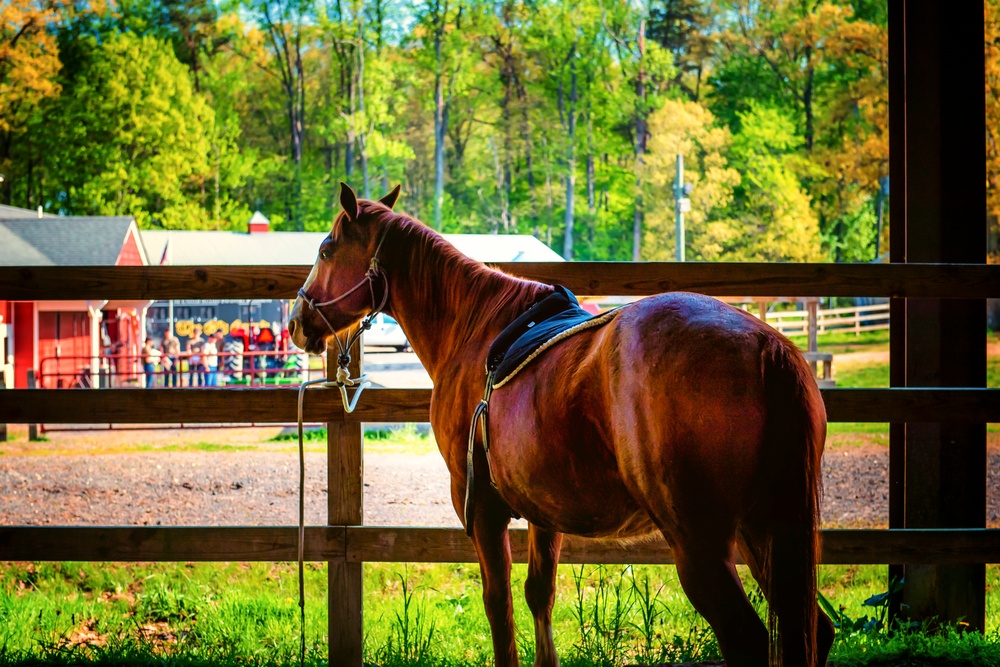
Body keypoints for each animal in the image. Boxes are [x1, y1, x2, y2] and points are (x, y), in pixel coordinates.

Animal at [292, 183, 836, 667]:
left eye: (325, 249)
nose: (297, 320)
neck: (474, 327)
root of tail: (766, 347)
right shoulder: (543, 511)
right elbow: (540, 595)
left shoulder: (482, 508)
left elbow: (499, 607)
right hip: (764, 530)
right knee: (814, 630)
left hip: (702, 543)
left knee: (746, 639)